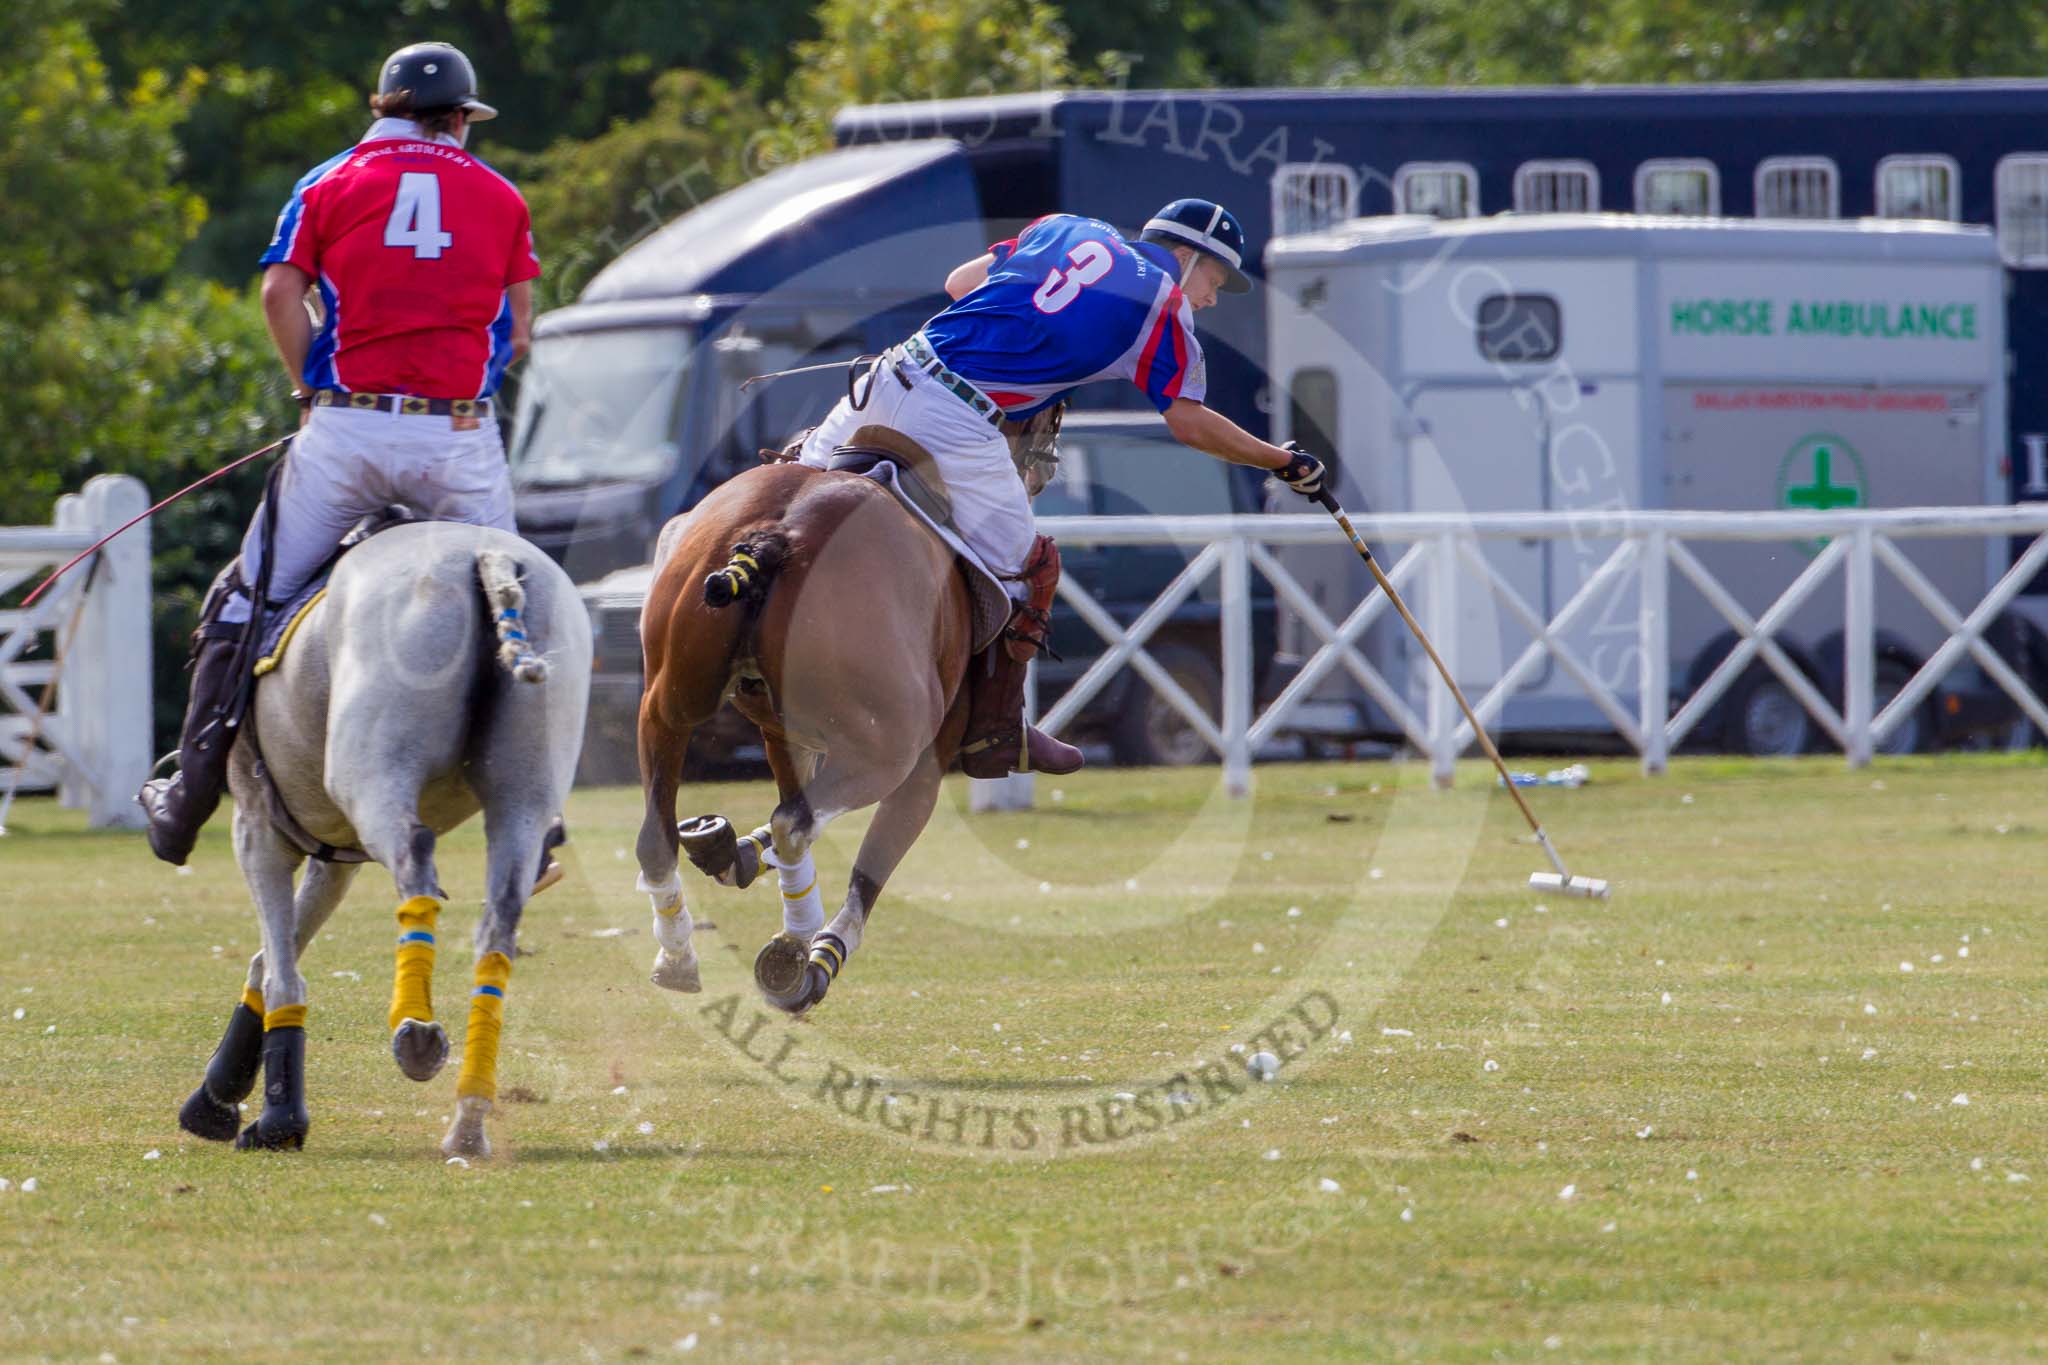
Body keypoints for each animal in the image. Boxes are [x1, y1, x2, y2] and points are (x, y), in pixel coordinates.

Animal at [171, 519, 589, 1154]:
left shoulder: (256, 828)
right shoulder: (333, 853)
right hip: (523, 795)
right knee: (500, 918)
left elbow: (281, 969)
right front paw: (220, 1099)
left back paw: (414, 1032)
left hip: (371, 773)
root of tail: (489, 557)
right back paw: (468, 1122)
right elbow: (274, 953)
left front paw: (272, 1117)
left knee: (416, 857)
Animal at [630, 450, 983, 1015]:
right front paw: (818, 958)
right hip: (889, 746)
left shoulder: (785, 735)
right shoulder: (925, 758)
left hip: (668, 699)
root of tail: (776, 535)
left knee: (658, 834)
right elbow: (866, 861)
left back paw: (679, 954)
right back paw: (793, 949)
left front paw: (730, 851)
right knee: (794, 824)